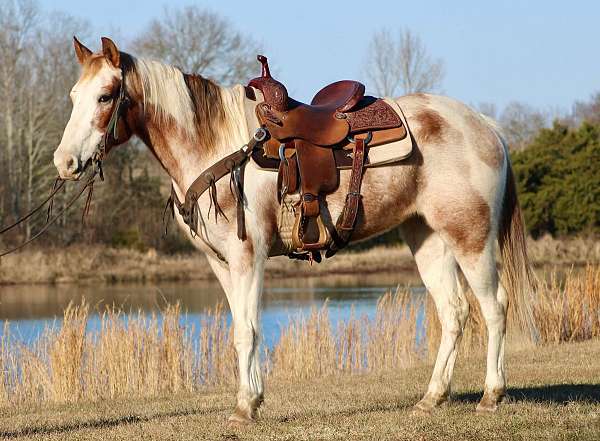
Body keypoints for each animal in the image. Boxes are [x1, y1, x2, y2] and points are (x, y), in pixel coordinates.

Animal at [52, 37, 528, 422]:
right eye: (74, 95)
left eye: (106, 96)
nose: (64, 162)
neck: (216, 146)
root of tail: (483, 124)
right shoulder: (221, 264)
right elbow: (240, 328)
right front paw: (251, 399)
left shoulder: (248, 257)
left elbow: (247, 330)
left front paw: (245, 408)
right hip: (426, 238)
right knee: (454, 312)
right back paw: (432, 398)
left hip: (471, 237)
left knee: (495, 306)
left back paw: (491, 395)